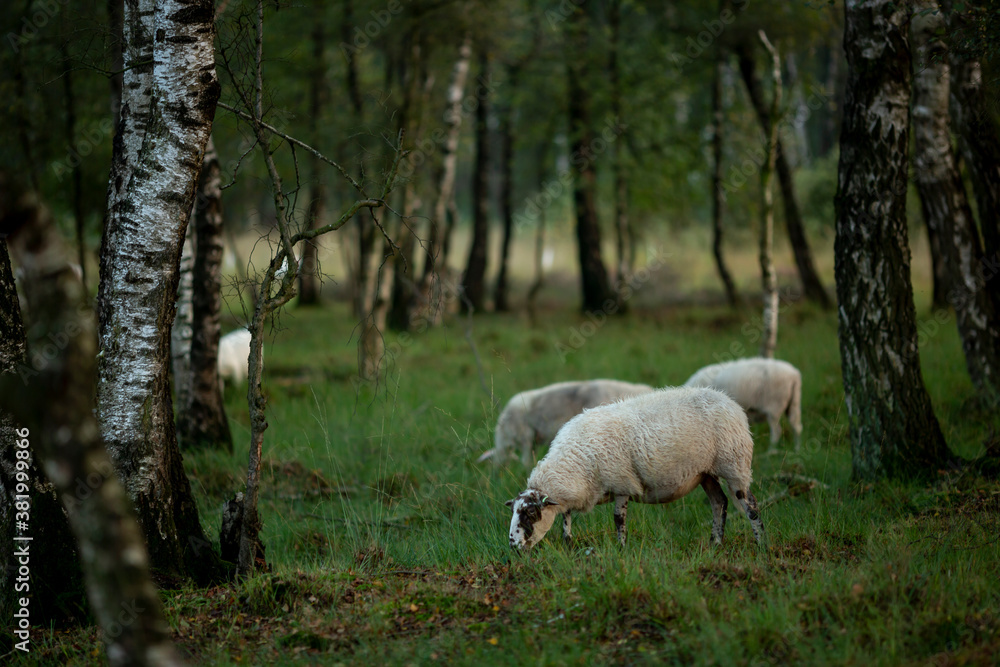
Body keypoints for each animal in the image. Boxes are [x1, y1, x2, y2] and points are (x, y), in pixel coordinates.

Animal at [506, 386, 764, 550]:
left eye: (530, 514)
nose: (513, 546)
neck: (577, 462)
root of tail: (731, 402)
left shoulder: (621, 484)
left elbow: (618, 519)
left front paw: (621, 548)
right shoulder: (576, 492)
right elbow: (565, 518)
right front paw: (568, 543)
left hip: (734, 463)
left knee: (749, 505)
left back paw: (760, 543)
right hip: (705, 473)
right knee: (719, 503)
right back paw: (715, 544)